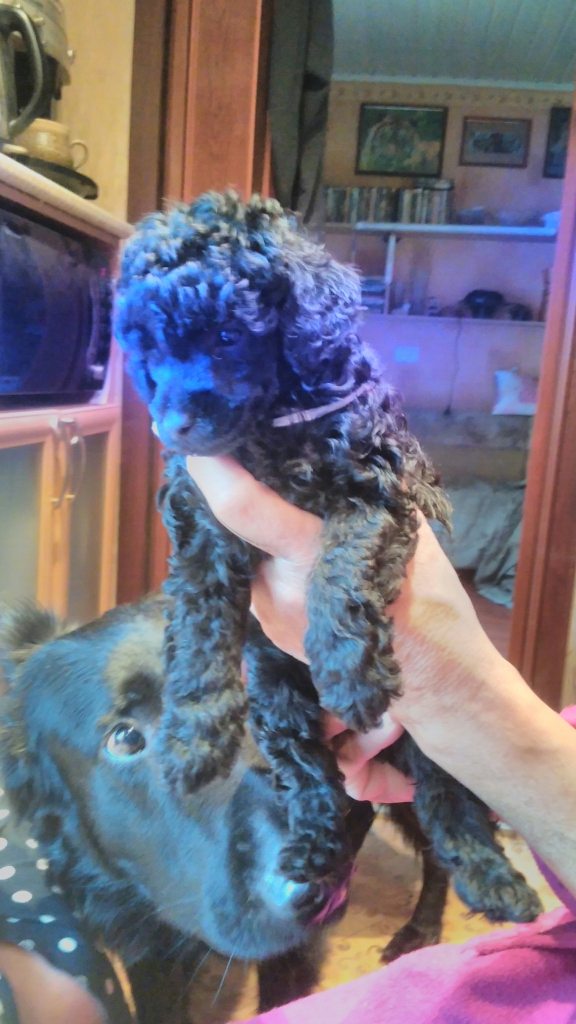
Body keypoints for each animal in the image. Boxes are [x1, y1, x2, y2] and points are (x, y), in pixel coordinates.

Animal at [115, 190, 542, 924]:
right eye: (148, 347)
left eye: (229, 337)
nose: (171, 425)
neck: (271, 431)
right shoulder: (199, 523)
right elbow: (200, 627)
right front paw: (193, 737)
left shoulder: (380, 487)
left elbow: (342, 565)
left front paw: (348, 672)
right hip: (278, 698)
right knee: (314, 779)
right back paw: (313, 858)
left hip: (428, 740)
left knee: (446, 801)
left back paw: (494, 882)